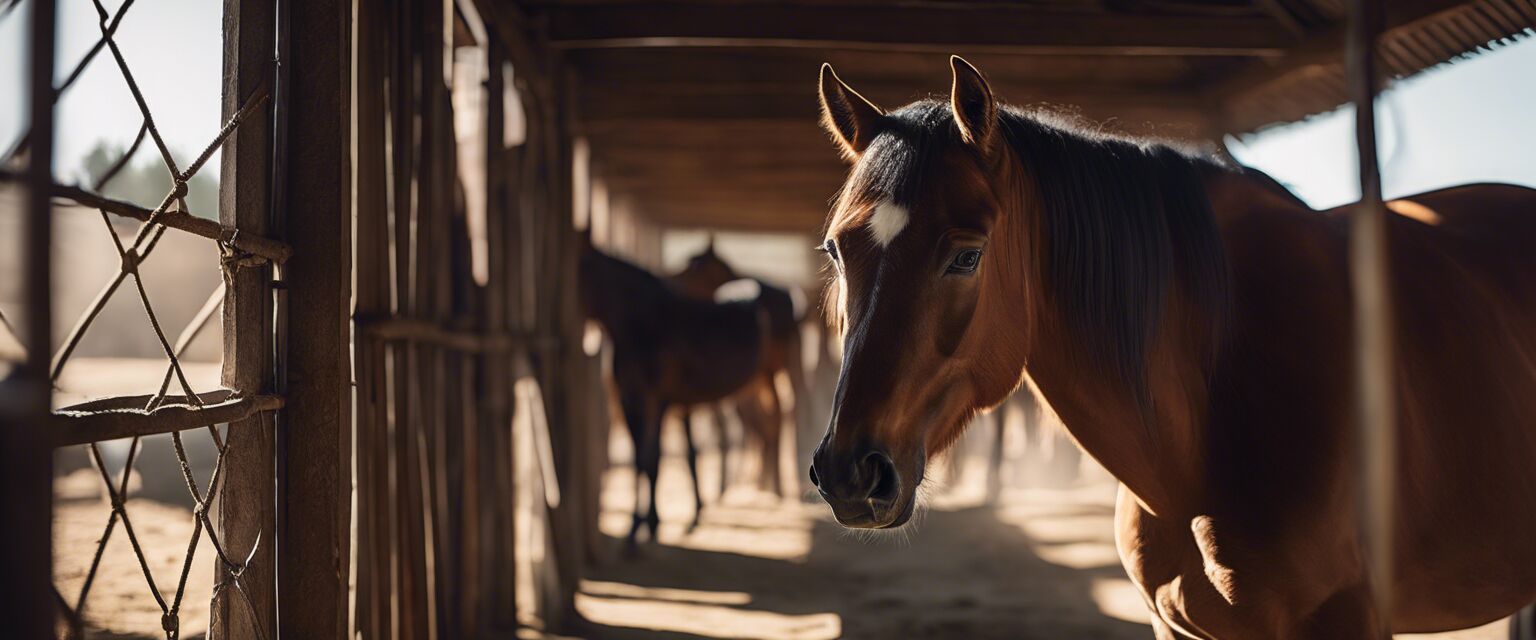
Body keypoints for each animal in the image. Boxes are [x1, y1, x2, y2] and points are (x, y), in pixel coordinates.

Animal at [577, 236, 764, 546]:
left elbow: (651, 458)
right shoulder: (631, 401)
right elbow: (641, 459)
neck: (643, 324)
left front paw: (645, 526)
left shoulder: (660, 400)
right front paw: (642, 524)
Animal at [675, 236, 811, 497]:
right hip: (772, 370)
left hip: (775, 368)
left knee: (778, 412)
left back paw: (776, 485)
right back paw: (771, 482)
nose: (671, 278)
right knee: (773, 414)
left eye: (695, 265)